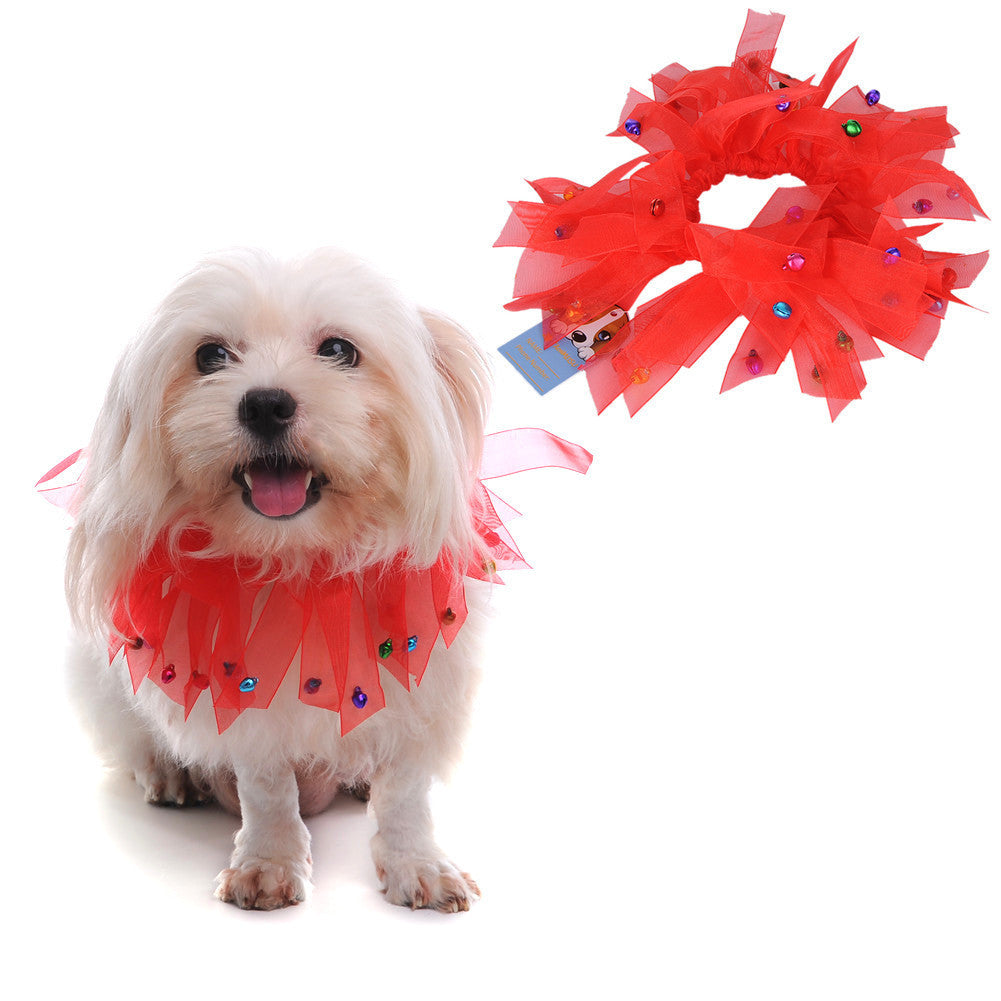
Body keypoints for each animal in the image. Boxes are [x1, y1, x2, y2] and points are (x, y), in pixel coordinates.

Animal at [65, 246, 492, 912]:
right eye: (210, 355)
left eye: (339, 349)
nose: (265, 403)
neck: (301, 561)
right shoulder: (244, 693)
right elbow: (267, 792)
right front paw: (268, 863)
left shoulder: (426, 682)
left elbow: (405, 795)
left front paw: (418, 864)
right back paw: (173, 770)